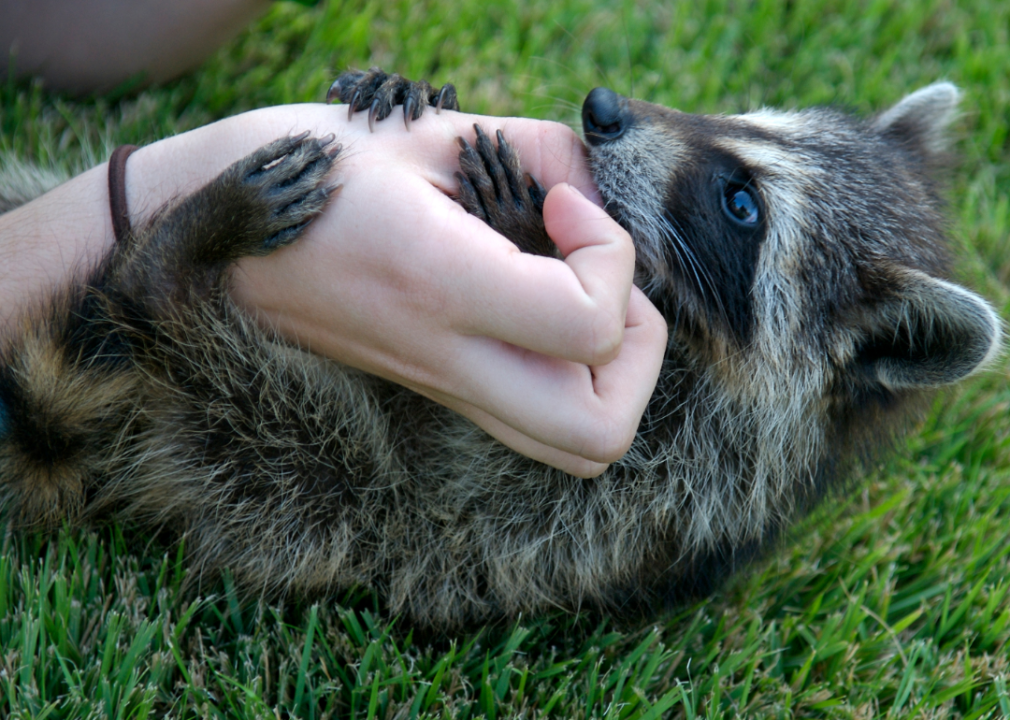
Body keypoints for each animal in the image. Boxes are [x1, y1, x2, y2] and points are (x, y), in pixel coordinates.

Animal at [0, 70, 997, 626]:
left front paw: (530, 233)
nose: (603, 109)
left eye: (740, 203)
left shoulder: (677, 477)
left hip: (294, 493)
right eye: (745, 122)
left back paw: (170, 268)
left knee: (283, 440)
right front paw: (417, 91)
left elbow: (489, 485)